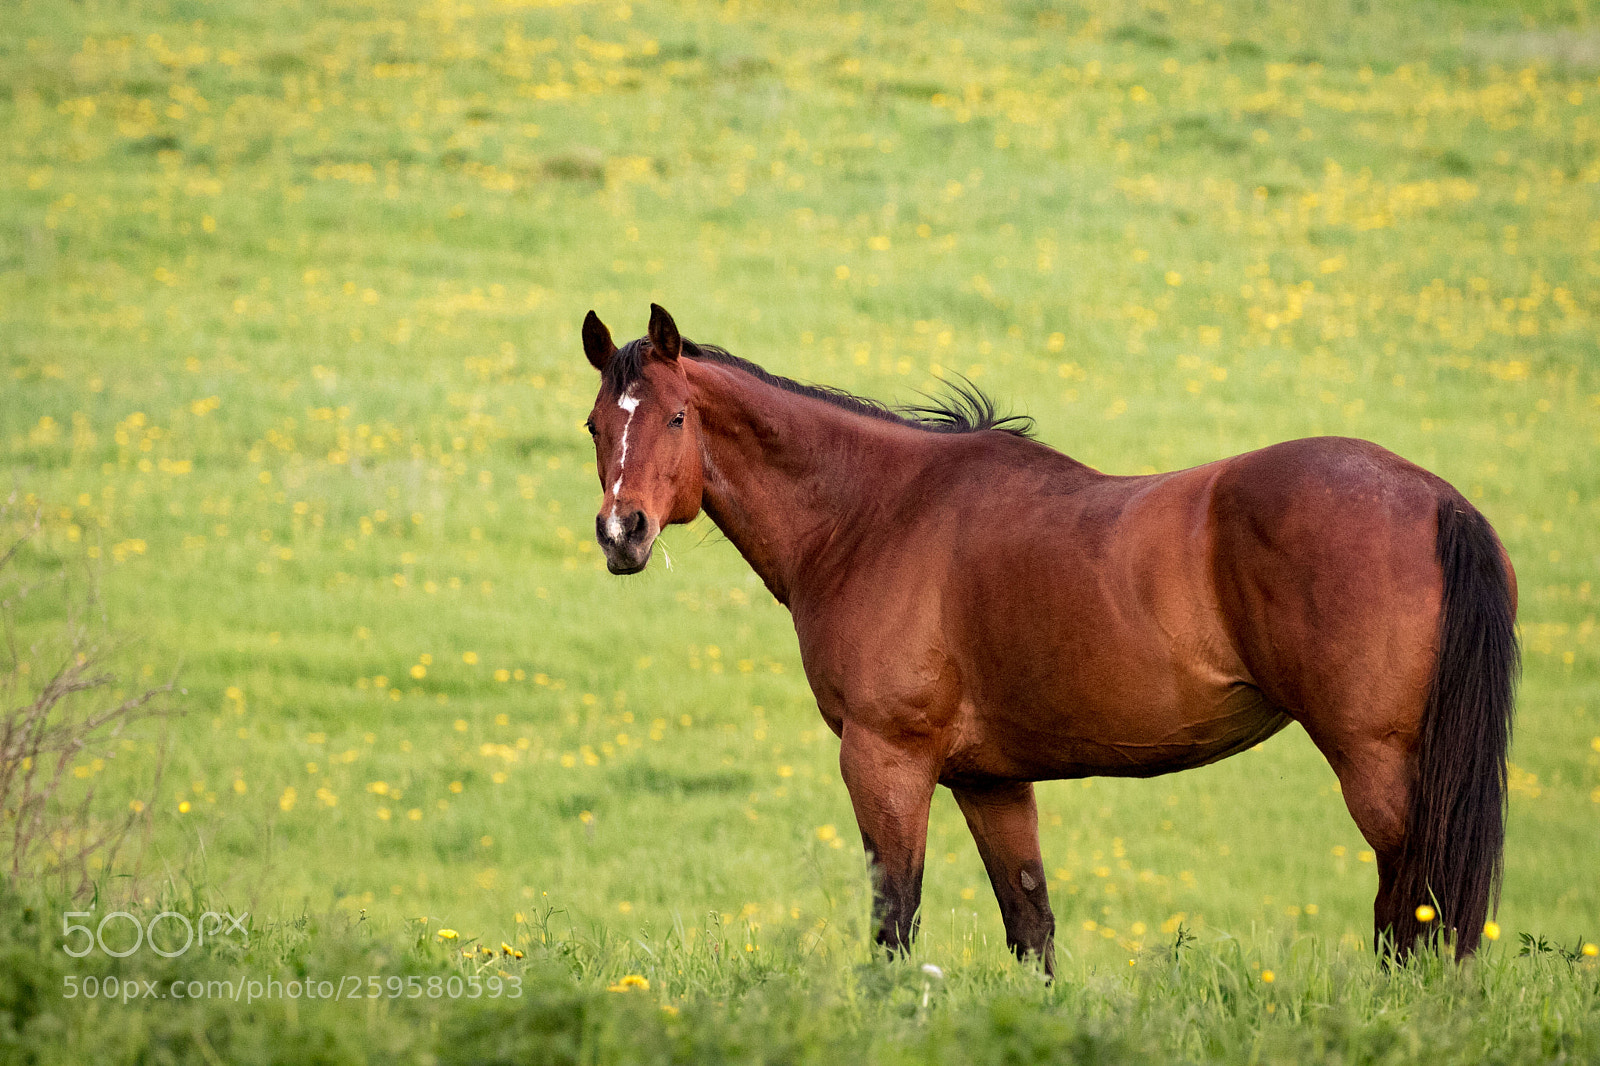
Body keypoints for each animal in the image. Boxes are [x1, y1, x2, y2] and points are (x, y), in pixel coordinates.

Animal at [581, 304, 1518, 974]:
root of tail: (1434, 498)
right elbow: (1030, 925)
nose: (622, 532)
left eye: (675, 417)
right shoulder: (992, 783)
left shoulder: (885, 759)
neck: (876, 514)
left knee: (1414, 911)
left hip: (1379, 766)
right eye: (596, 424)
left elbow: (894, 923)